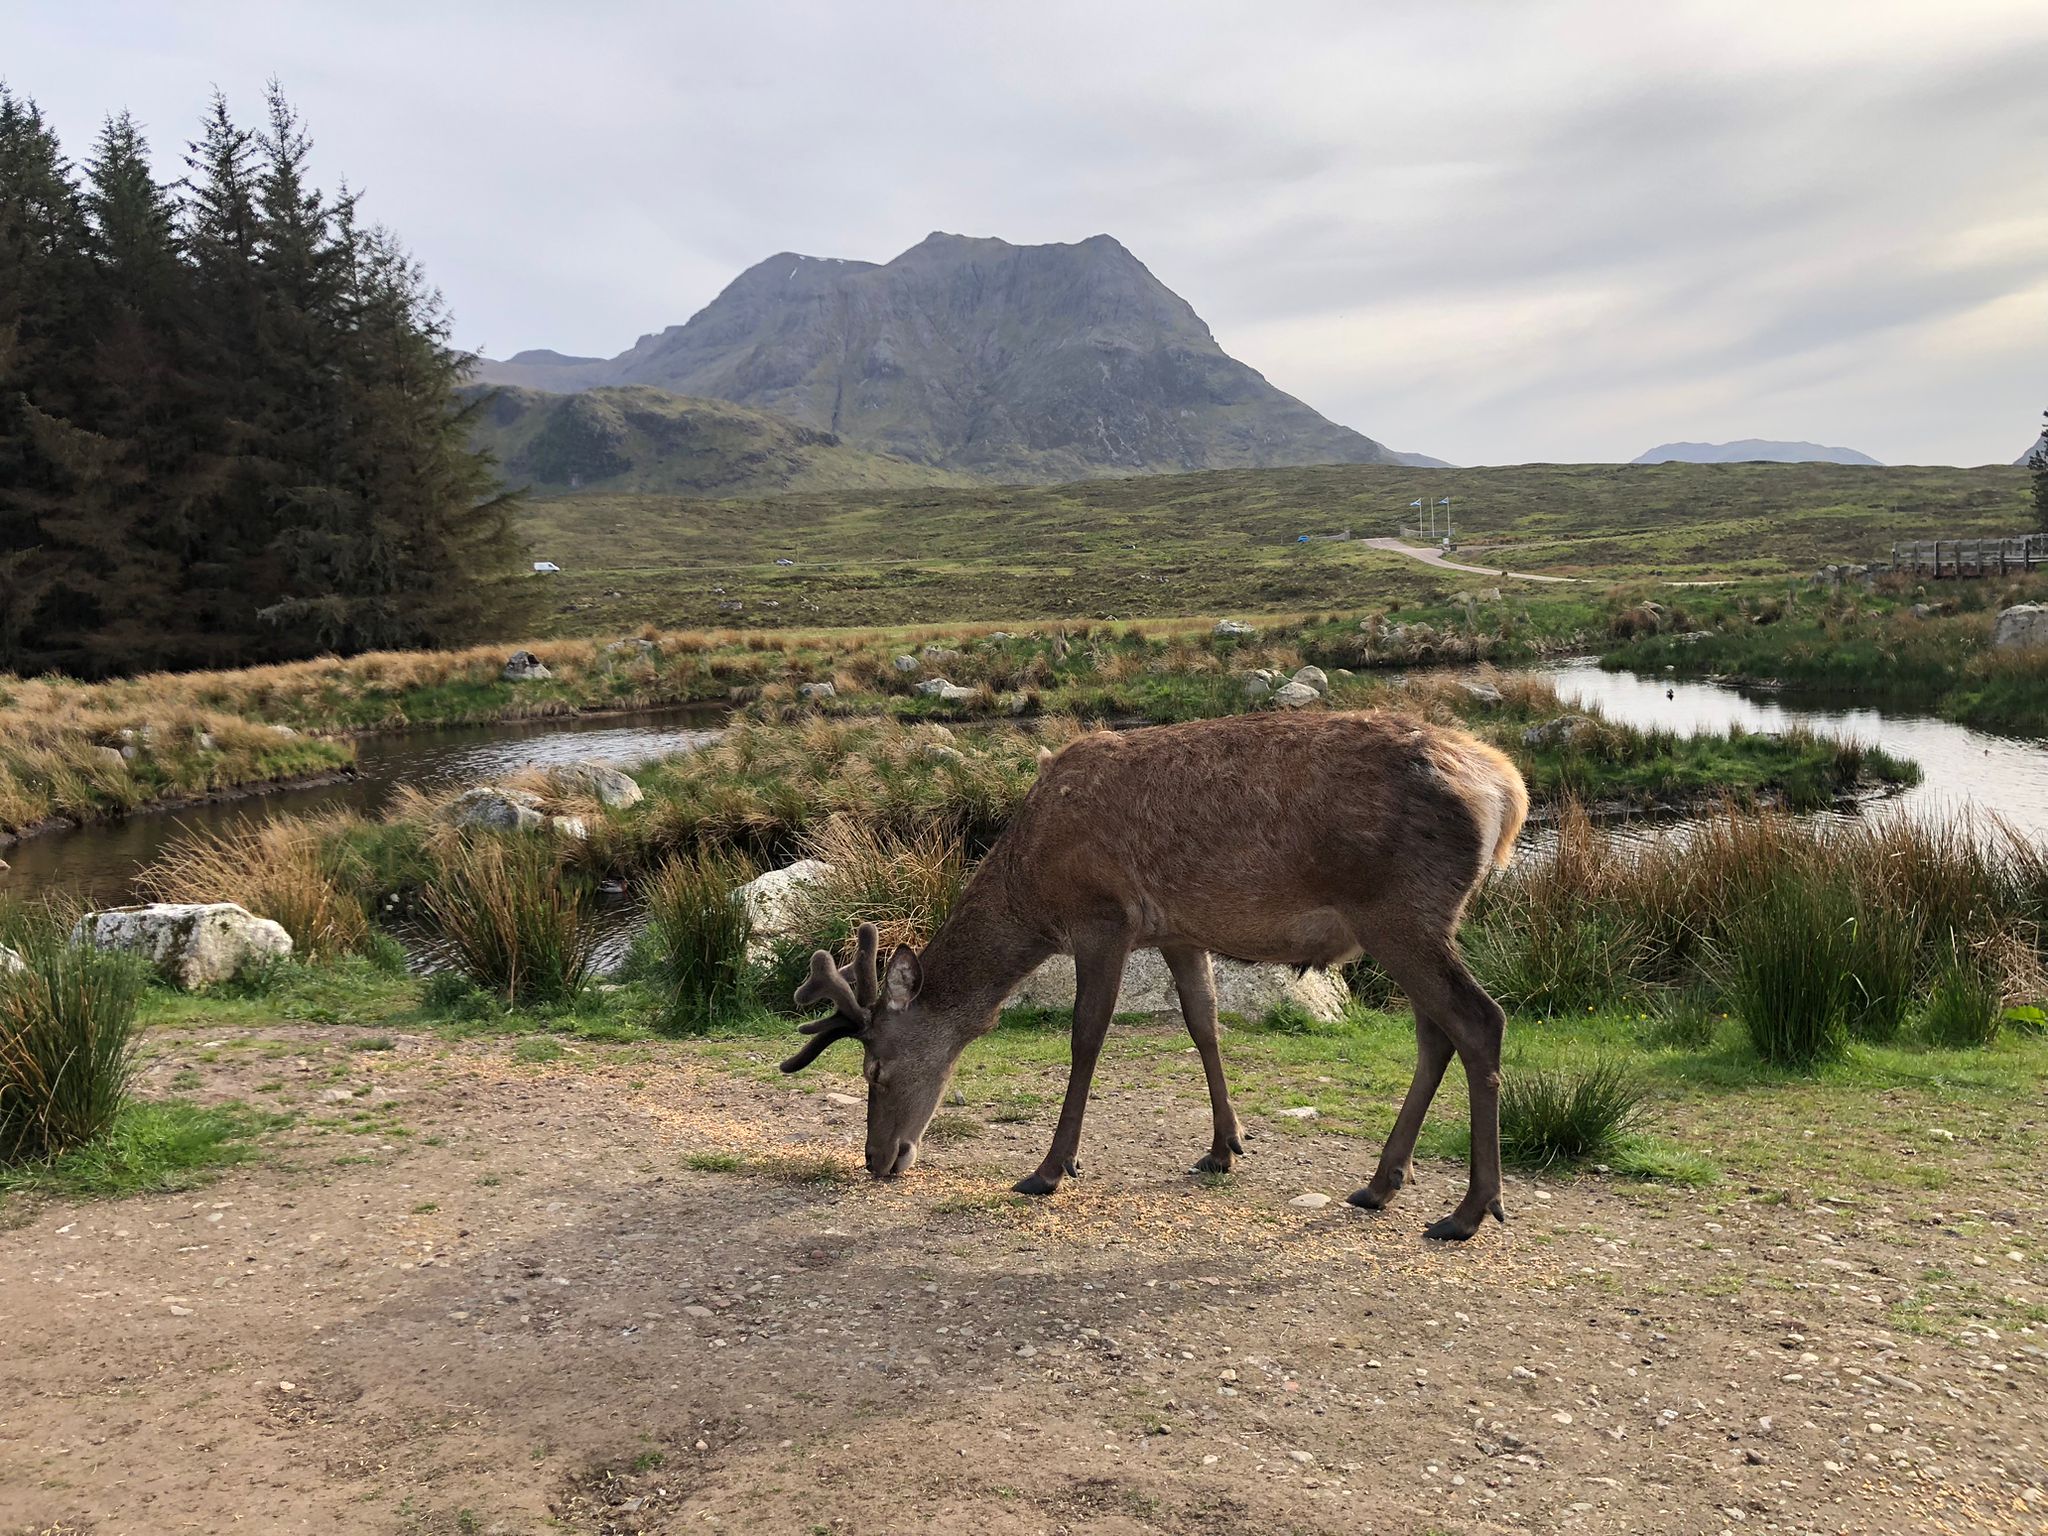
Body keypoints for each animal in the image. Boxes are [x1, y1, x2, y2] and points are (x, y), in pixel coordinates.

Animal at [774, 716, 1531, 1245]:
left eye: (875, 1068)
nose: (877, 1160)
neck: (1032, 887)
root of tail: (1507, 789)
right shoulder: (1178, 932)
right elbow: (1203, 1022)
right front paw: (1225, 1147)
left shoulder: (1102, 917)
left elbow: (1086, 1038)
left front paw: (1051, 1169)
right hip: (1415, 923)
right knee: (1437, 1034)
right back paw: (1381, 1184)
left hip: (1399, 911)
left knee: (1479, 1021)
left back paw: (1468, 1210)